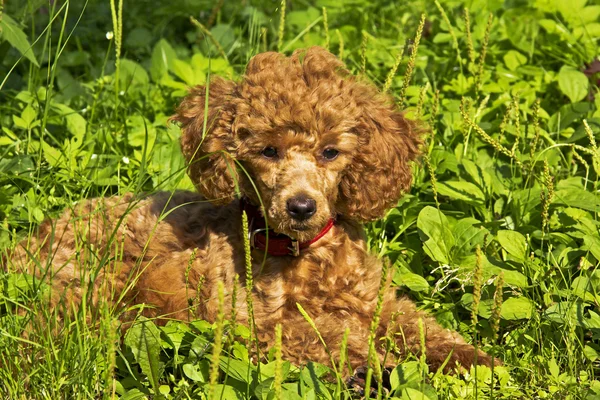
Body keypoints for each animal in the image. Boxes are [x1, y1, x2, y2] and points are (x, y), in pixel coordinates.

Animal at [8, 47, 492, 376]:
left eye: (331, 152)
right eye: (267, 151)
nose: (301, 207)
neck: (301, 253)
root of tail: (24, 243)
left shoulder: (377, 299)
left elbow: (422, 327)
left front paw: (476, 361)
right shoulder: (246, 321)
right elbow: (326, 333)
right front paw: (377, 362)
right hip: (86, 287)